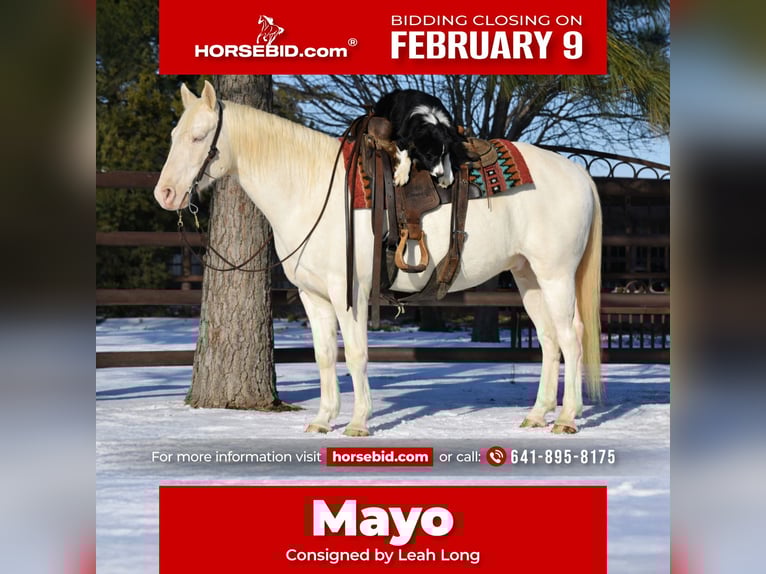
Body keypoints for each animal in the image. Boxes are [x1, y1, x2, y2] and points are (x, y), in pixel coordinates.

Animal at [154, 81, 603, 436]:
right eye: (175, 133)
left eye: (199, 137)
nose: (166, 194)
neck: (312, 189)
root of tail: (579, 174)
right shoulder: (313, 297)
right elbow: (324, 356)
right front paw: (323, 420)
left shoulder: (349, 291)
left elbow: (356, 354)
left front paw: (357, 423)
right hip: (528, 276)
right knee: (549, 340)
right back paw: (537, 415)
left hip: (556, 275)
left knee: (571, 336)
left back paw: (567, 418)